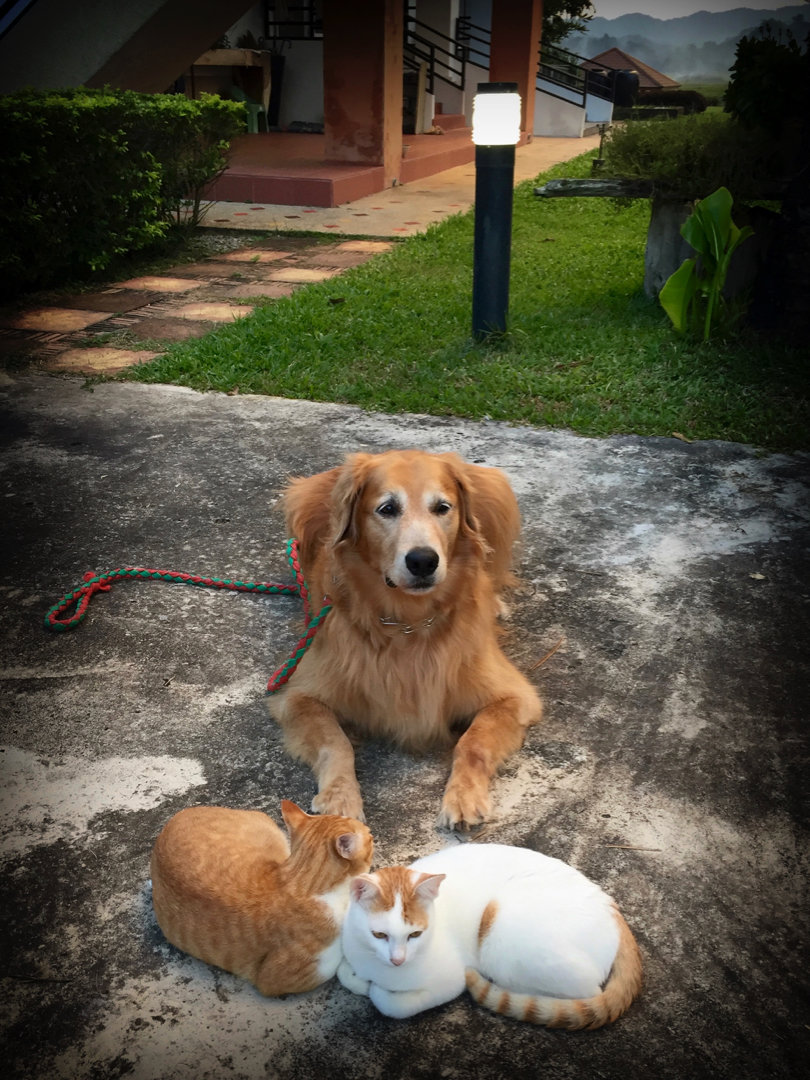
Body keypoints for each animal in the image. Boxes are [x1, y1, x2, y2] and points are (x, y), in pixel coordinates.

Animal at [268, 449, 542, 830]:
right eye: (387, 509)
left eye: (442, 507)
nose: (423, 561)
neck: (408, 622)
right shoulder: (298, 696)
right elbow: (336, 743)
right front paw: (340, 798)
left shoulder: (514, 696)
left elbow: (474, 741)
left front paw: (463, 797)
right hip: (300, 499)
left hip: (499, 494)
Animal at [338, 842, 642, 1027]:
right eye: (379, 934)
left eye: (414, 934)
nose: (398, 960)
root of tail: (610, 906)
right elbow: (346, 972)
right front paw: (360, 979)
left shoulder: (450, 981)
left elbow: (390, 1004)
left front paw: (376, 990)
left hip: (503, 940)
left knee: (583, 991)